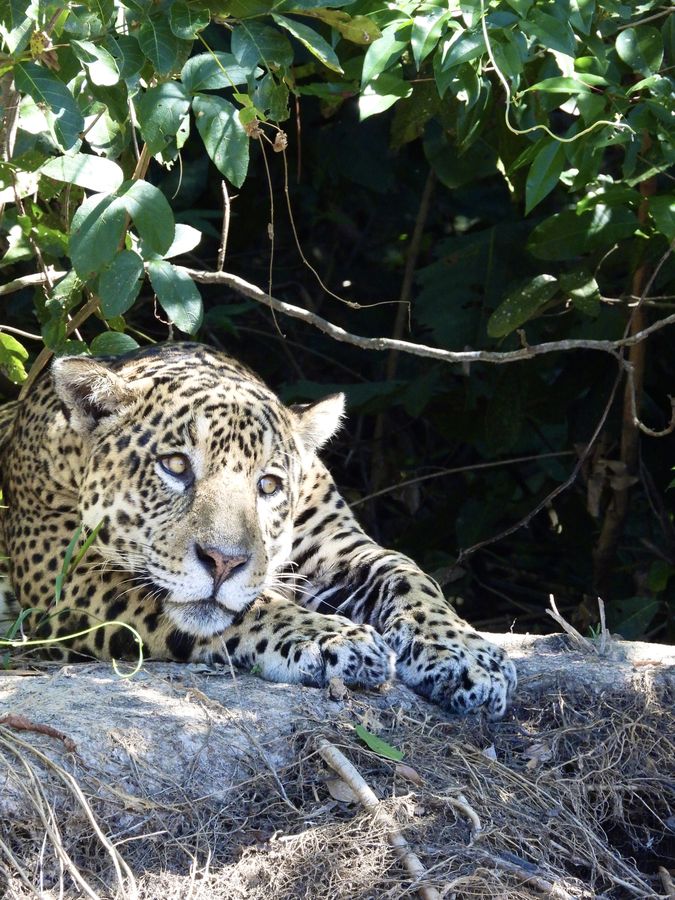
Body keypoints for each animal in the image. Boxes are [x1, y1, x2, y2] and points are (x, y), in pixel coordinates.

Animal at [0, 342, 516, 716]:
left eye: (268, 484)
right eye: (174, 465)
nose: (223, 562)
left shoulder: (334, 550)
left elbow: (407, 573)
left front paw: (469, 656)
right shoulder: (65, 577)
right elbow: (244, 609)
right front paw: (334, 640)